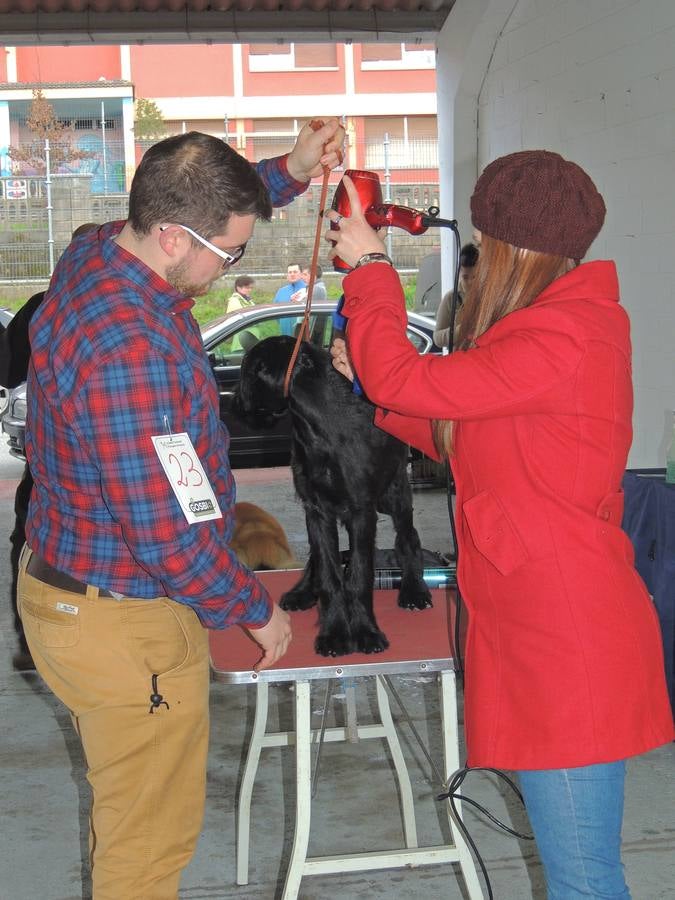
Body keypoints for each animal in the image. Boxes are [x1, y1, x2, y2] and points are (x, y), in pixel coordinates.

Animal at [232, 334, 434, 656]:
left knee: (408, 537)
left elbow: (360, 575)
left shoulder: (361, 511)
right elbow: (329, 573)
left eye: (249, 371)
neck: (321, 425)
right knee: (317, 559)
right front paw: (335, 633)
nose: (235, 402)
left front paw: (366, 632)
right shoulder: (316, 510)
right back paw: (302, 592)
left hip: (394, 494)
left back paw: (414, 590)